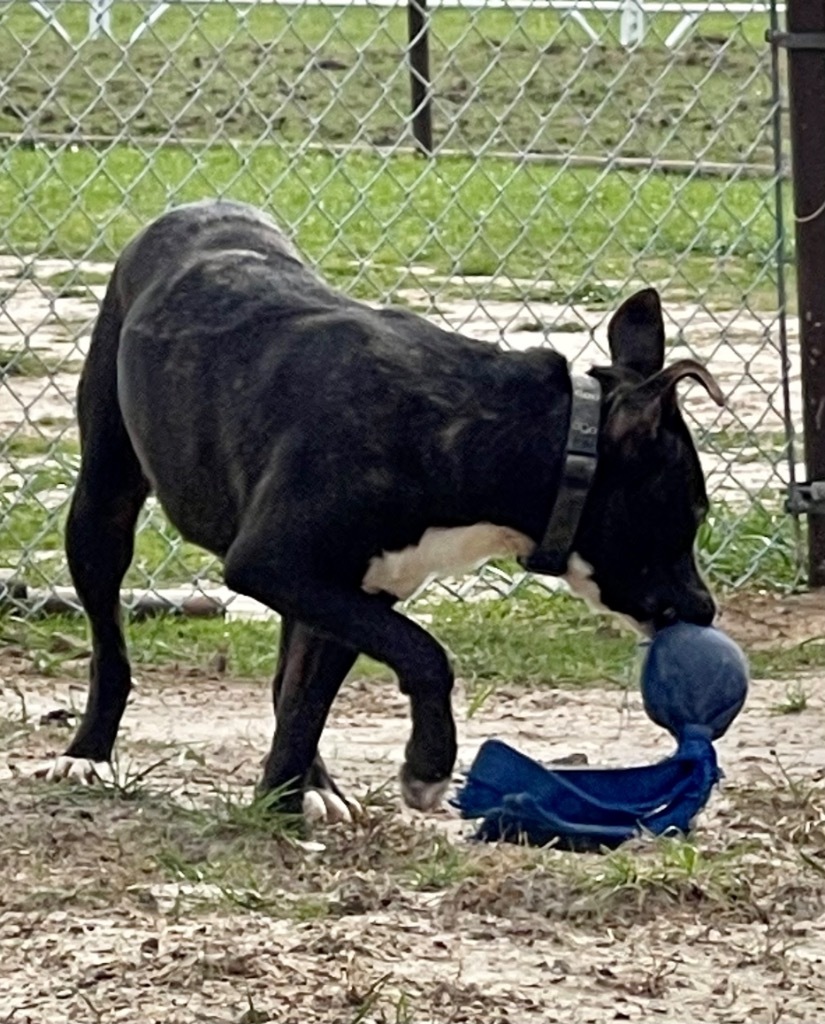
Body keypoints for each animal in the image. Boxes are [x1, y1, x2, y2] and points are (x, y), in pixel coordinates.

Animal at [53, 201, 724, 823]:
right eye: (692, 511)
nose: (706, 608)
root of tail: (195, 208)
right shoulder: (276, 566)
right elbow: (424, 653)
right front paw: (425, 767)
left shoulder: (352, 590)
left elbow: (307, 700)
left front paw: (282, 800)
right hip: (102, 507)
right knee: (110, 644)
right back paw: (86, 754)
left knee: (284, 679)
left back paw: (316, 785)